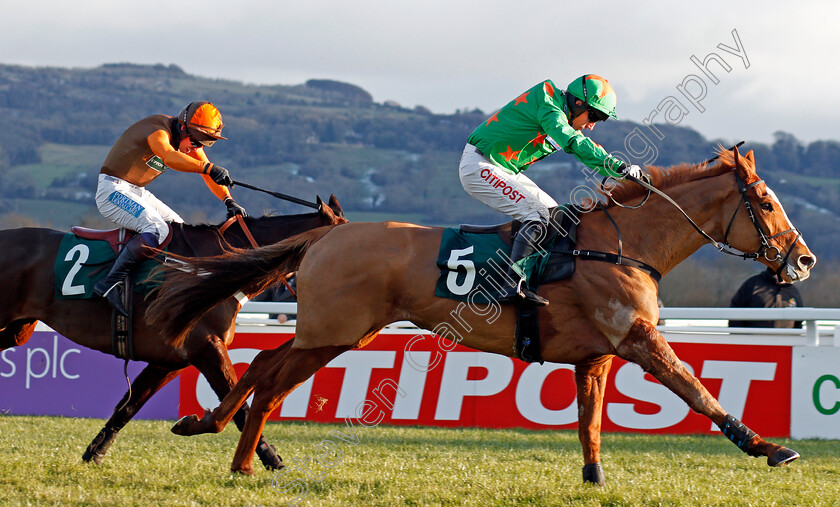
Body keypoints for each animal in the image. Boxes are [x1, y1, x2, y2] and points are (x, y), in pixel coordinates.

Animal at [0, 194, 348, 468]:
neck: (213, 269)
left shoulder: (171, 359)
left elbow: (129, 405)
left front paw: (94, 452)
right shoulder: (206, 347)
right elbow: (239, 406)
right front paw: (271, 459)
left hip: (18, 329)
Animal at [149, 148, 812, 484]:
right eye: (765, 201)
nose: (802, 260)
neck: (620, 244)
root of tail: (324, 236)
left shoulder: (597, 353)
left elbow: (590, 422)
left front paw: (594, 478)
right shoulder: (638, 337)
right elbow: (696, 389)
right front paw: (767, 446)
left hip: (334, 331)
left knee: (262, 366)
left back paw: (214, 436)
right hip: (332, 332)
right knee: (268, 380)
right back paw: (233, 452)